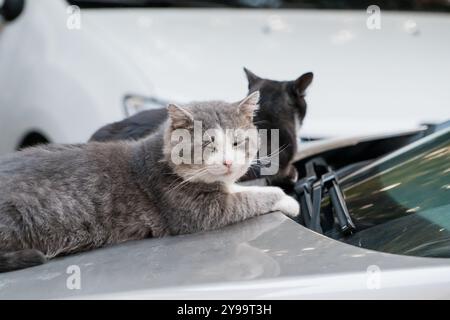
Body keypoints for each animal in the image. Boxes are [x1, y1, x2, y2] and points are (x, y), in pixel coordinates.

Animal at [0, 92, 298, 272]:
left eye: (237, 142)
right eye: (207, 145)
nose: (227, 162)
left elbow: (240, 189)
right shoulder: (201, 212)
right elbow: (250, 198)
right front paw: (287, 200)